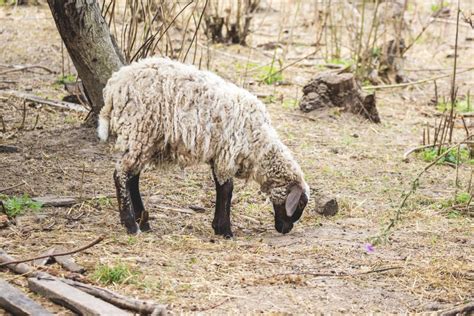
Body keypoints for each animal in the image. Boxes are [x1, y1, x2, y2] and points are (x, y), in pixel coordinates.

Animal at [98, 56, 310, 236]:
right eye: (300, 205)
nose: (286, 229)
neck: (260, 146)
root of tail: (115, 86)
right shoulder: (228, 153)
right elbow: (227, 189)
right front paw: (225, 230)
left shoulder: (220, 155)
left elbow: (220, 187)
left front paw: (218, 226)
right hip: (140, 130)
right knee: (121, 173)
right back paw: (131, 225)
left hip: (145, 139)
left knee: (132, 176)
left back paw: (143, 221)